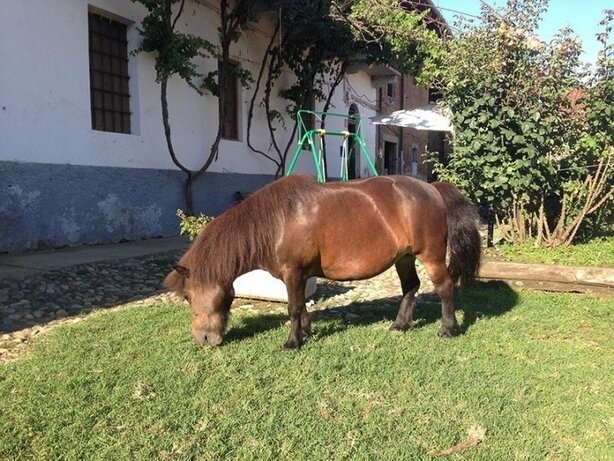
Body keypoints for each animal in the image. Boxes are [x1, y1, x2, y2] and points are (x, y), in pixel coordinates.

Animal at [164, 174, 482, 350]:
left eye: (188, 296)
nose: (204, 339)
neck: (276, 222)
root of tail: (432, 189)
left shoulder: (293, 272)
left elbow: (293, 308)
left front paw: (292, 343)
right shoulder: (299, 276)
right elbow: (302, 307)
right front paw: (306, 333)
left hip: (430, 257)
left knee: (444, 288)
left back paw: (448, 329)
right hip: (404, 258)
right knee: (410, 287)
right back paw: (399, 325)